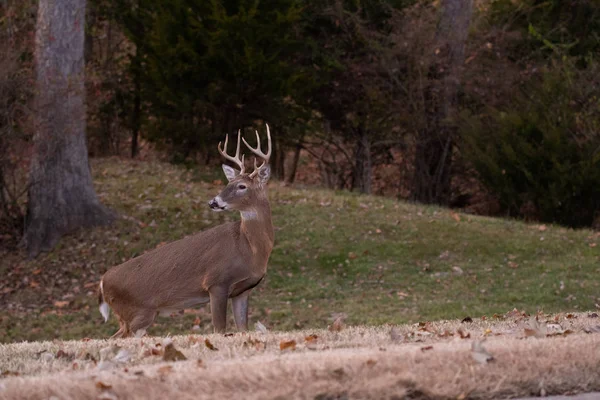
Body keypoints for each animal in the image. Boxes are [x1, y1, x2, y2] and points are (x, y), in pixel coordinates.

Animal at [98, 125, 274, 338]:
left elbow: (243, 328)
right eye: (227, 184)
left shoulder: (243, 290)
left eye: (242, 186)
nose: (213, 202)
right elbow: (219, 329)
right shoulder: (216, 281)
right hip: (137, 312)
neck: (249, 249)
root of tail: (102, 282)